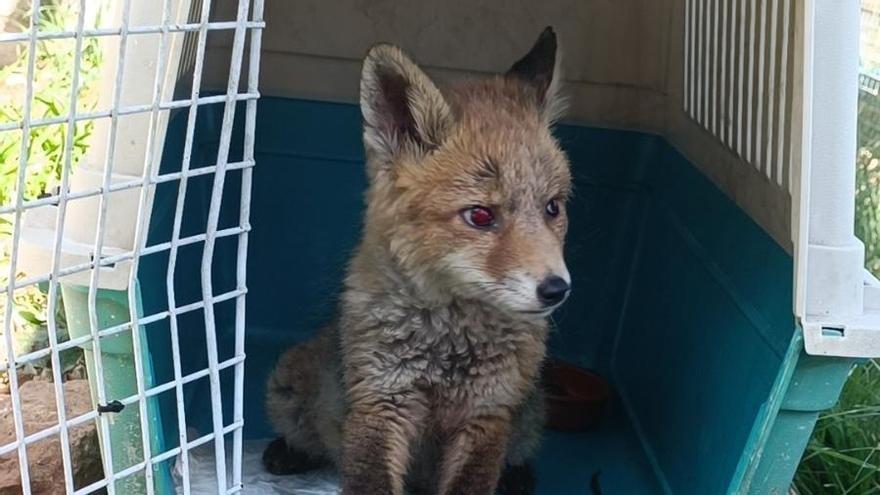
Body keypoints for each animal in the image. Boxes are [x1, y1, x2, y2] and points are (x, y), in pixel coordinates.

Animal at [262, 27, 576, 495]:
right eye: (480, 216)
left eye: (552, 207)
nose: (556, 289)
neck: (449, 345)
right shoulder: (380, 400)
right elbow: (369, 479)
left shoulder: (487, 413)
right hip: (290, 382)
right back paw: (289, 451)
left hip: (531, 413)